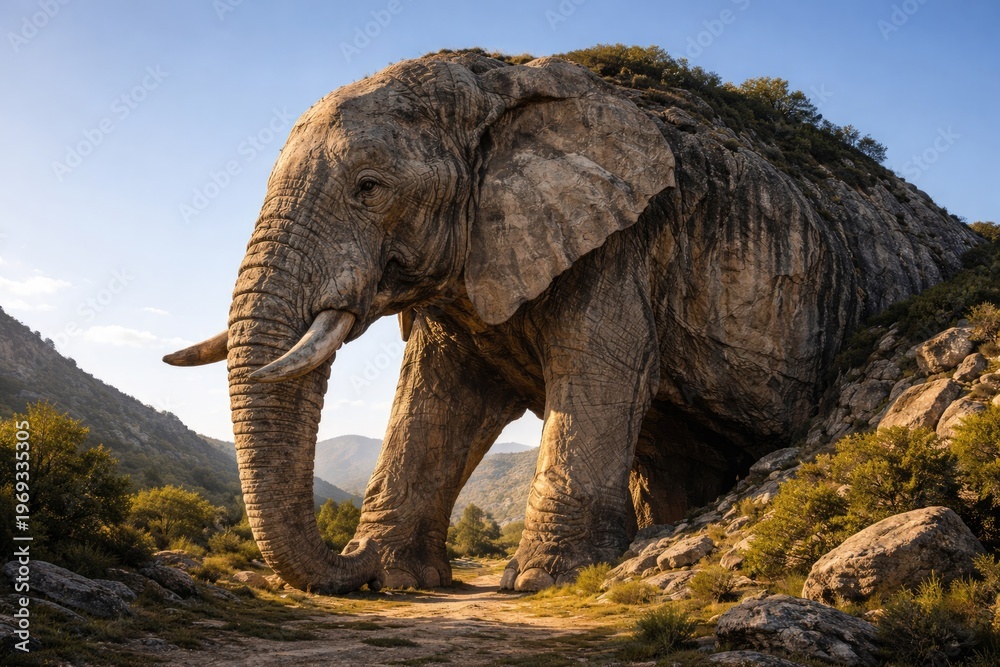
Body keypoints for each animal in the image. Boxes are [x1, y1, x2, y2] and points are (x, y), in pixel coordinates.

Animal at [165, 52, 977, 594]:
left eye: (370, 187)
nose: (352, 561)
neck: (502, 86)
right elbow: (438, 400)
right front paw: (398, 575)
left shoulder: (627, 237)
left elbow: (599, 373)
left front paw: (538, 583)